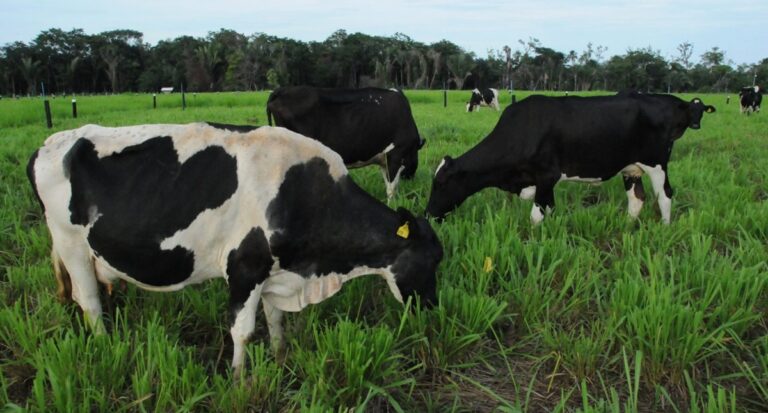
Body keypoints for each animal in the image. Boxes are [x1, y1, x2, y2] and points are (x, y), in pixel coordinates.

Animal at [27, 120, 444, 372]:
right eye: (431, 261)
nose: (432, 308)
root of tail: (52, 142)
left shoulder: (275, 271)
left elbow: (275, 319)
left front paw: (279, 356)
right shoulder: (245, 267)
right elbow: (242, 330)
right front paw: (239, 379)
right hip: (72, 245)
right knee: (89, 302)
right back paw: (104, 347)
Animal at [428, 92, 716, 225]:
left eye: (441, 184)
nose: (428, 215)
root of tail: (673, 101)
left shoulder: (546, 175)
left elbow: (536, 215)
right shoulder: (541, 182)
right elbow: (549, 210)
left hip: (657, 163)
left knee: (664, 195)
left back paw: (665, 228)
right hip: (631, 168)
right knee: (637, 198)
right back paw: (627, 226)